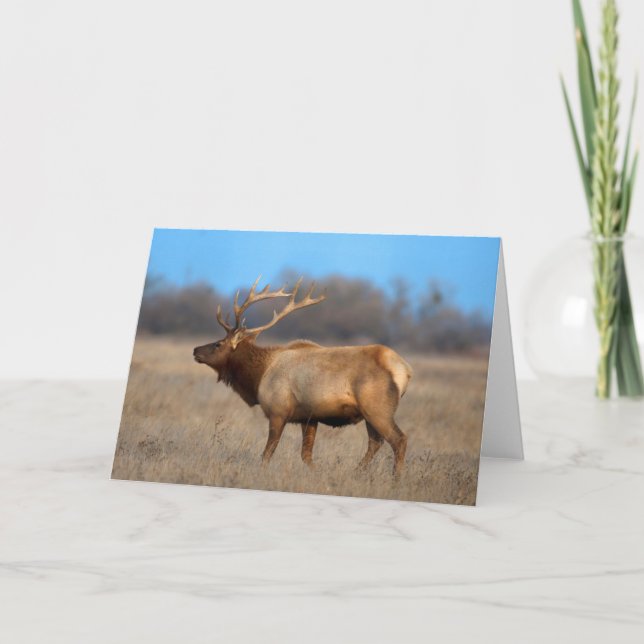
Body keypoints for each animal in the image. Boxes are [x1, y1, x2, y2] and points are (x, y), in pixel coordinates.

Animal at [193, 277, 412, 476]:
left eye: (218, 344)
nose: (195, 350)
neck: (258, 375)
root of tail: (404, 370)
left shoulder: (278, 411)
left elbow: (267, 454)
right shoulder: (309, 417)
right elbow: (306, 456)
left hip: (377, 409)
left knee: (399, 440)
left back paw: (395, 478)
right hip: (370, 413)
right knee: (376, 442)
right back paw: (356, 472)